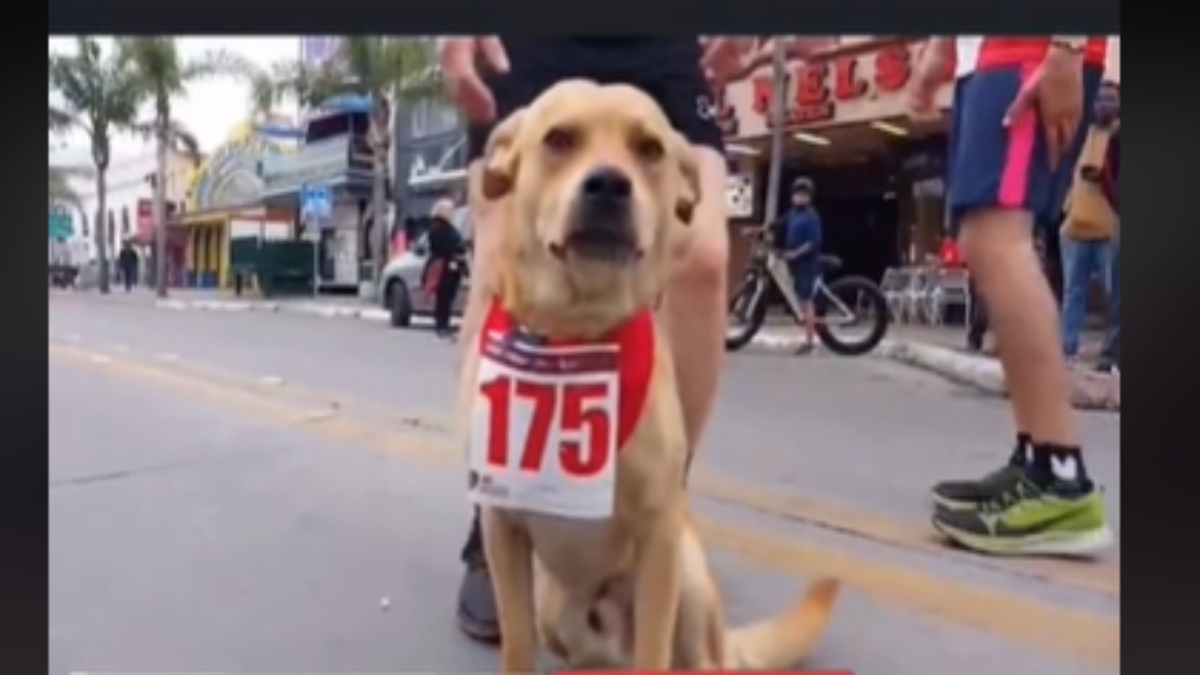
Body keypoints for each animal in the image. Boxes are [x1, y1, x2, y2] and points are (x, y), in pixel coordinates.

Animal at [463, 78, 840, 667]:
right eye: (559, 139)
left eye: (651, 150)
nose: (608, 186)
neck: (577, 333)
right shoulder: (503, 529)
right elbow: (517, 645)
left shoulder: (658, 539)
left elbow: (654, 650)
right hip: (557, 611)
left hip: (688, 579)